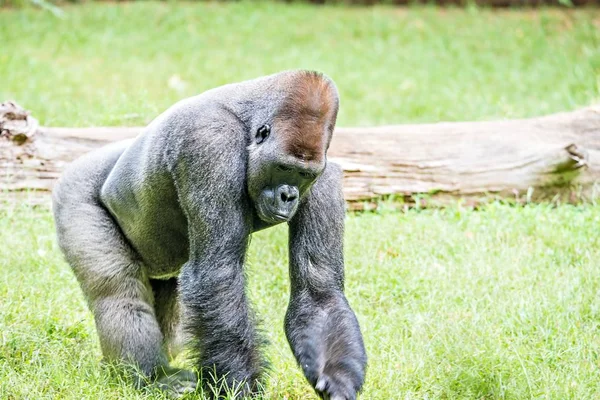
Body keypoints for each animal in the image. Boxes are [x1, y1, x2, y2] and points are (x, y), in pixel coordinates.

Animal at [51, 70, 368, 398]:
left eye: (304, 174)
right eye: (283, 167)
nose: (288, 196)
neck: (249, 124)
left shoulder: (325, 177)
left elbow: (318, 291)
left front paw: (336, 376)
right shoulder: (210, 144)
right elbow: (218, 274)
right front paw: (241, 387)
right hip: (75, 188)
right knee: (117, 292)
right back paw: (152, 376)